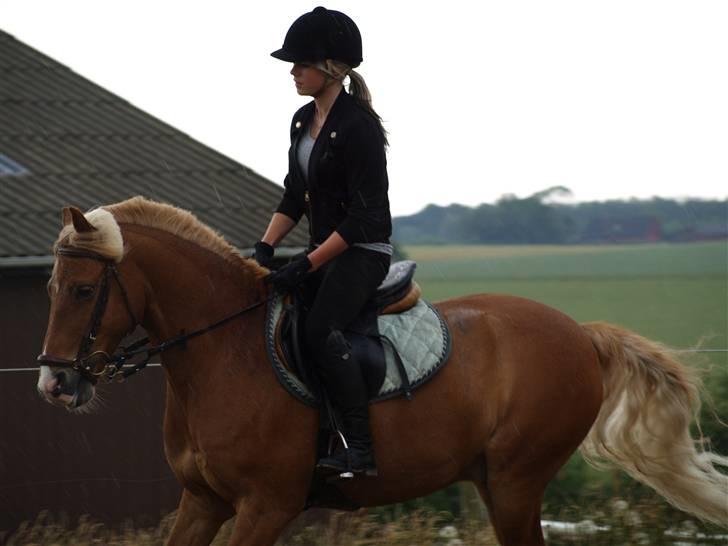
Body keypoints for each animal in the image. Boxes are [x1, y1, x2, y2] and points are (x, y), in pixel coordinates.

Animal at [36, 197, 727, 546]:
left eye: (82, 290)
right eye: (50, 287)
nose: (55, 383)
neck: (221, 353)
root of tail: (580, 334)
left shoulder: (266, 505)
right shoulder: (202, 502)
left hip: (516, 480)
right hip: (496, 480)